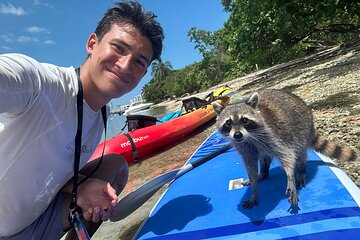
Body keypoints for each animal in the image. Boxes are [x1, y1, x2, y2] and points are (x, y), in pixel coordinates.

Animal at [212, 89, 356, 209]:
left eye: (245, 120)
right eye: (228, 123)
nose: (237, 135)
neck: (249, 137)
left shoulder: (274, 136)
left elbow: (287, 155)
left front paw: (290, 176)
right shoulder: (245, 147)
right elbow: (250, 166)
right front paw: (254, 187)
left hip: (301, 129)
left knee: (300, 152)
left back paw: (301, 171)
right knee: (264, 158)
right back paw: (263, 173)